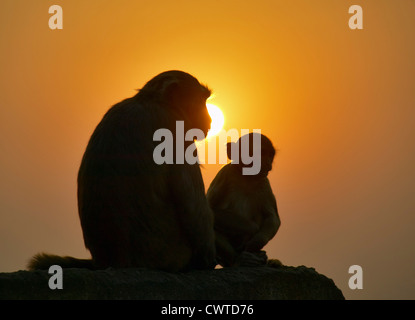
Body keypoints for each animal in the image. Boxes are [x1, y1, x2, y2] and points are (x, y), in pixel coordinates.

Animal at [28, 70, 216, 272]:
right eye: (201, 102)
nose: (210, 119)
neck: (152, 101)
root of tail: (113, 261)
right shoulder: (176, 130)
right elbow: (192, 207)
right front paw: (208, 257)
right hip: (173, 254)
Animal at [208, 132, 282, 268]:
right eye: (261, 153)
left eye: (270, 154)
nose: (268, 164)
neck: (246, 176)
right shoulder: (225, 174)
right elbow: (209, 211)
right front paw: (251, 227)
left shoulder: (264, 182)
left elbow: (273, 217)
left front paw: (256, 242)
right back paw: (239, 260)